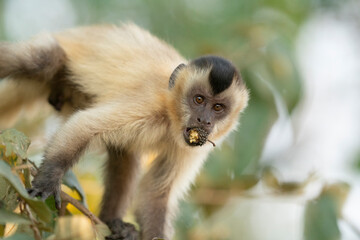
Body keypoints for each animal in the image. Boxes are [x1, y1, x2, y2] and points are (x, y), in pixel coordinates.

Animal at [0, 23, 248, 240]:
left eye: (218, 108)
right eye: (198, 99)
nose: (203, 120)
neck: (170, 118)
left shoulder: (193, 147)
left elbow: (156, 193)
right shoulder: (150, 104)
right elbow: (85, 125)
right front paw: (48, 181)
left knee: (125, 153)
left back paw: (113, 224)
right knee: (41, 61)